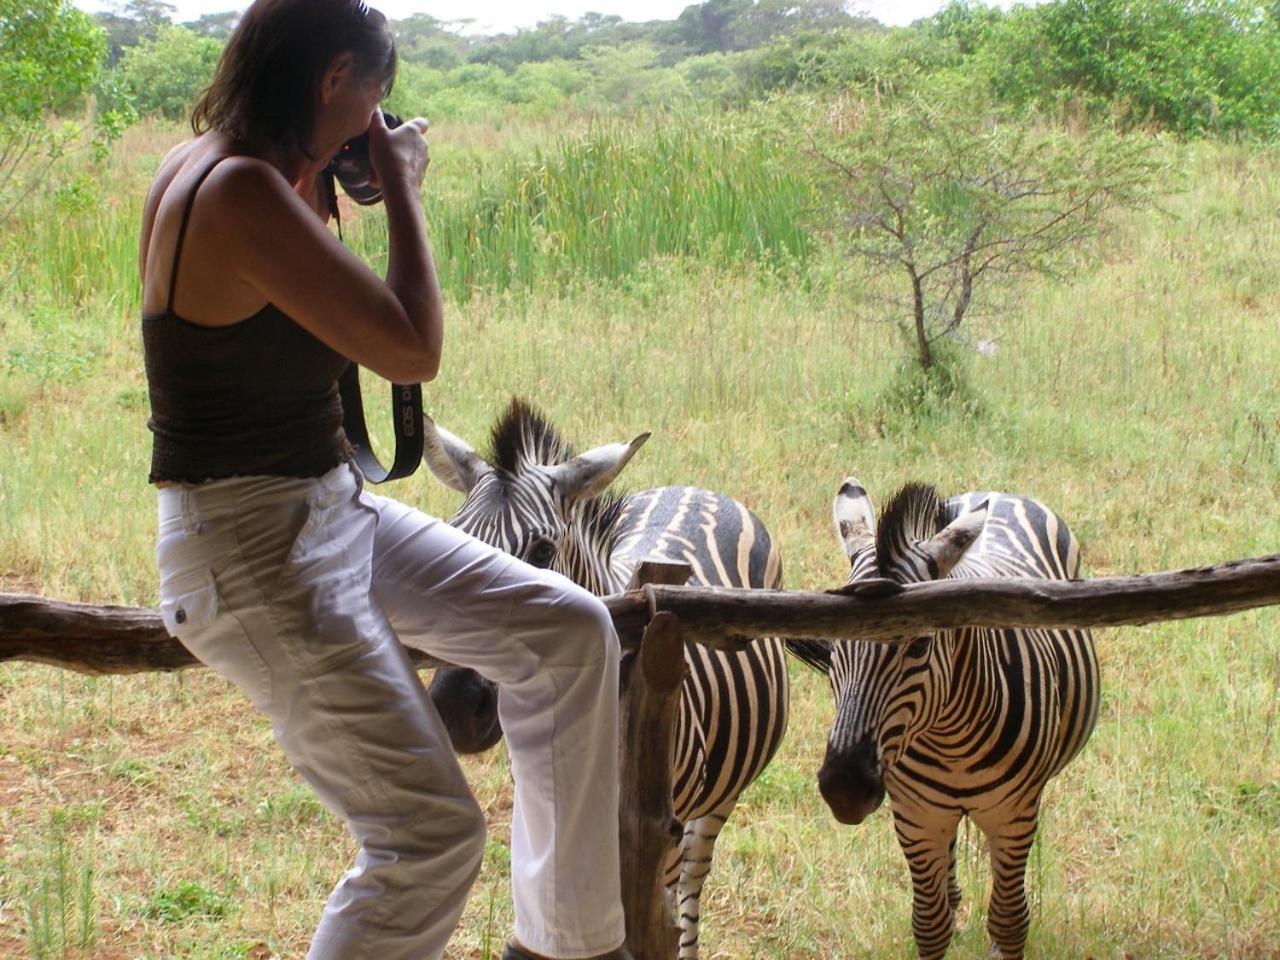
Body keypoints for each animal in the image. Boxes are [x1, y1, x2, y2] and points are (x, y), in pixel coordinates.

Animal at [417, 399, 788, 960]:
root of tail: (699, 491)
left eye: (542, 553)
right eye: (451, 539)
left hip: (715, 801)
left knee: (691, 889)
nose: (455, 706)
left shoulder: (660, 828)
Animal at [788, 481, 1100, 960]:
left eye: (919, 645)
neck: (950, 742)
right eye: (834, 646)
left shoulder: (1012, 815)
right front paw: (943, 917)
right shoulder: (916, 816)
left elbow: (1009, 921)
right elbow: (929, 923)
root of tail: (996, 490)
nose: (844, 790)